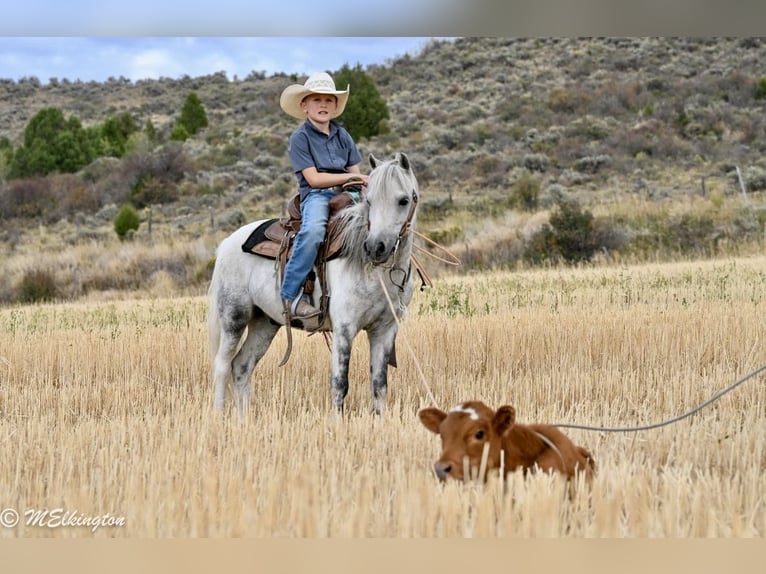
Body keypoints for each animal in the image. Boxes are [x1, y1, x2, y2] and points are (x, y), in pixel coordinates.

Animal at [207, 152, 419, 416]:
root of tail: (227, 243)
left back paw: (243, 420)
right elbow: (340, 384)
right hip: (233, 317)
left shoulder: (385, 330)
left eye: (403, 200)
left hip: (265, 322)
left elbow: (379, 386)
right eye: (369, 201)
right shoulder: (344, 328)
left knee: (241, 366)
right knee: (222, 366)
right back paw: (219, 417)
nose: (375, 247)